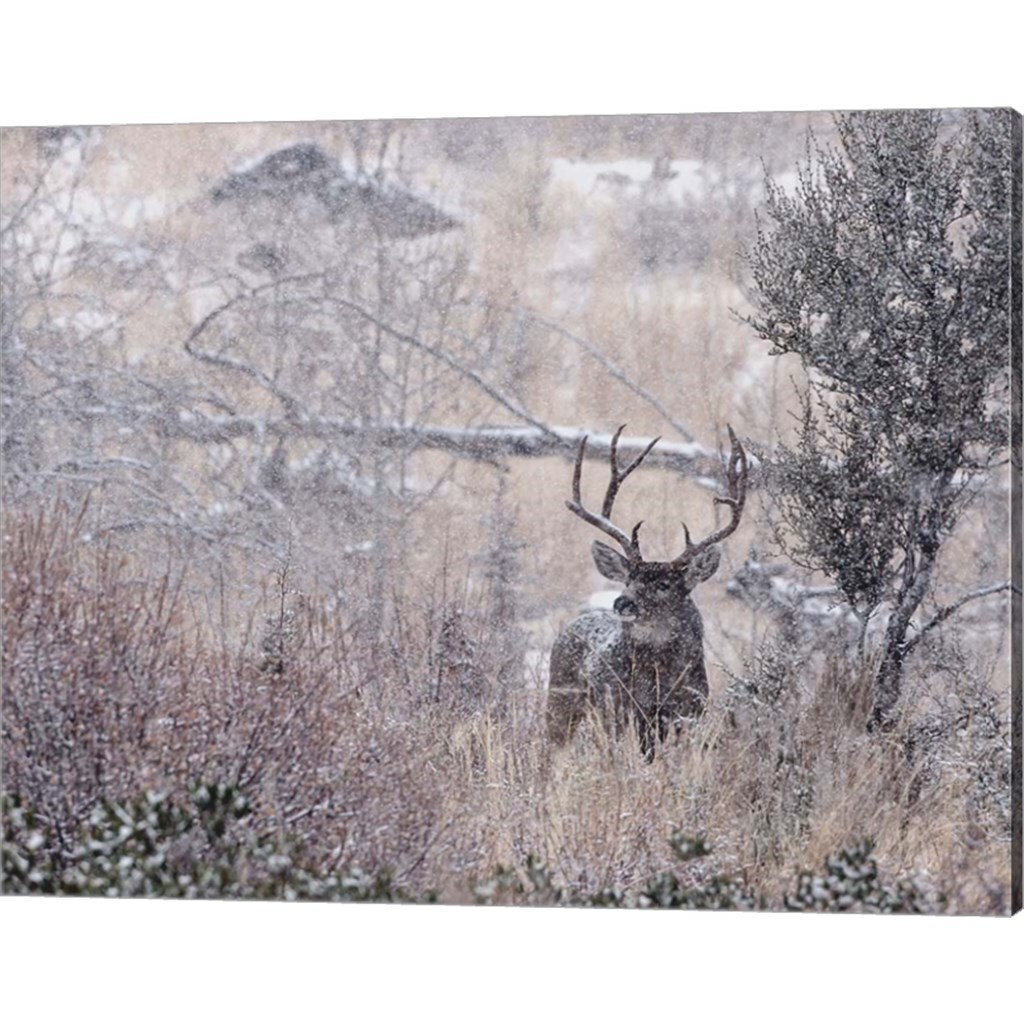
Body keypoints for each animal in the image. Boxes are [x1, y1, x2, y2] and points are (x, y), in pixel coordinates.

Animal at [547, 425, 748, 761]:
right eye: (628, 579)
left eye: (664, 585)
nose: (622, 602)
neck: (658, 682)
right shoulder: (620, 710)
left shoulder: (689, 712)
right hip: (560, 695)